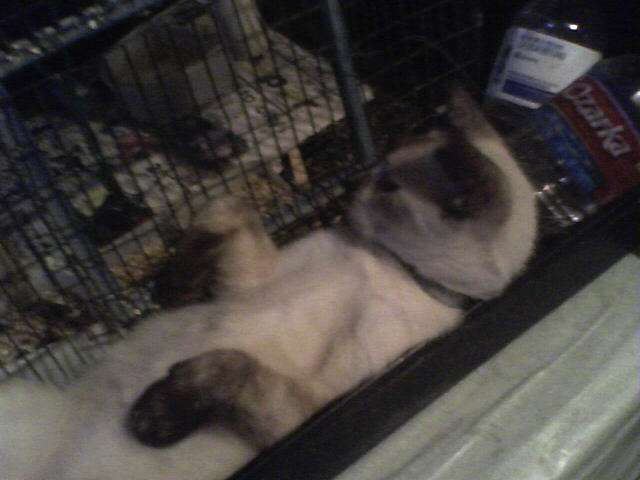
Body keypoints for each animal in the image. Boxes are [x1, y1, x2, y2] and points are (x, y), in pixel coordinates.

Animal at [0, 87, 537, 480]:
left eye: (388, 187)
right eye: (379, 166)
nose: (350, 183)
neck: (391, 264)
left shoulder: (311, 406)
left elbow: (222, 364)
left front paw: (151, 418)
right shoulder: (248, 276)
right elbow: (229, 209)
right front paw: (171, 292)